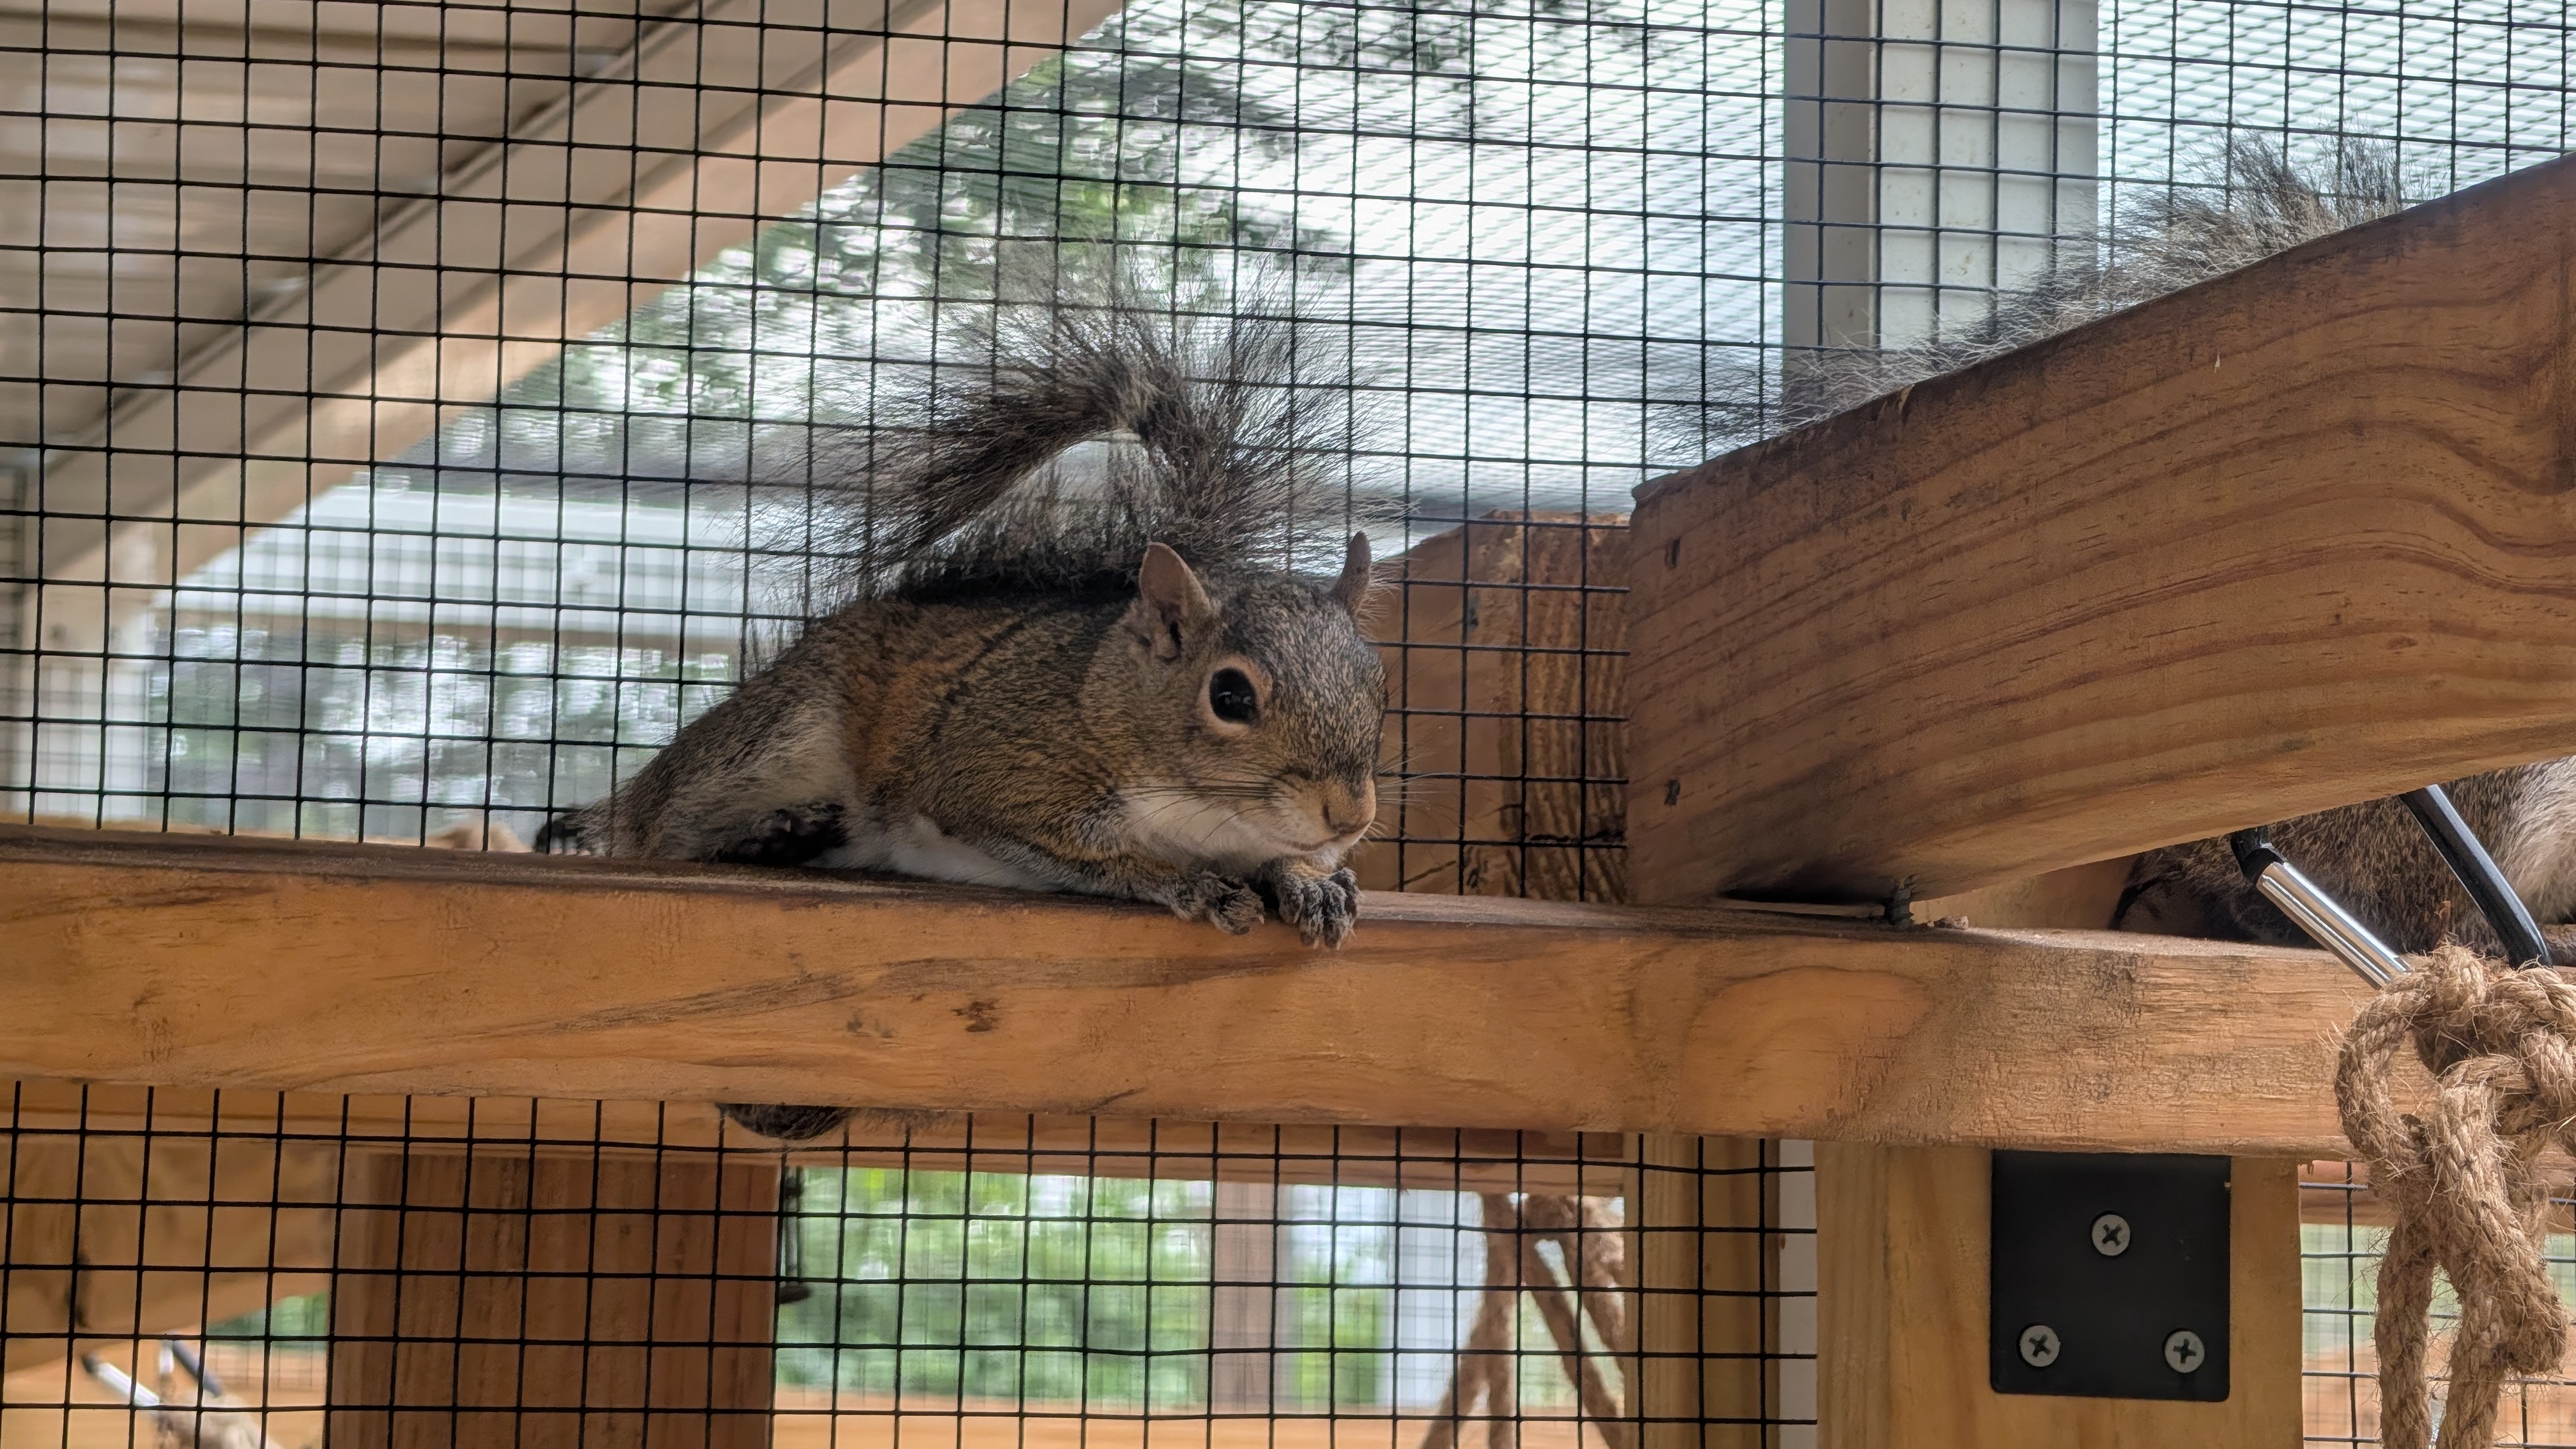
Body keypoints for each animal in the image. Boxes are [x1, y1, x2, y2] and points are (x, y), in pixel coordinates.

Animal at [536, 298, 1390, 1140]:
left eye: (1377, 681)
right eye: (1231, 697)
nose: (1350, 815)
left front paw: (1312, 882)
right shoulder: (994, 773)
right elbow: (1086, 854)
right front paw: (1187, 882)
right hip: (775, 736)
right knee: (661, 828)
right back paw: (730, 833)